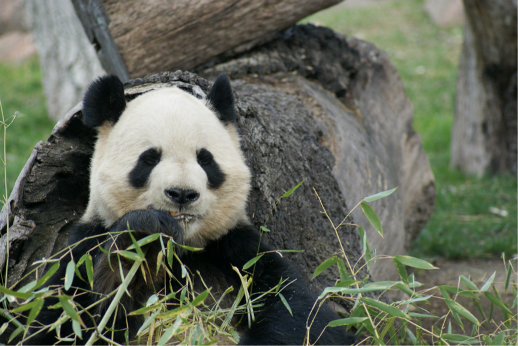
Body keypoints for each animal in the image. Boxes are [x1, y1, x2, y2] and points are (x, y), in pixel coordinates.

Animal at [24, 74, 358, 344]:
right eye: (149, 158)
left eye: (205, 159)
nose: (182, 194)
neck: (182, 250)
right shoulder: (83, 249)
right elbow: (67, 321)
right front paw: (143, 232)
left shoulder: (237, 253)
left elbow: (302, 317)